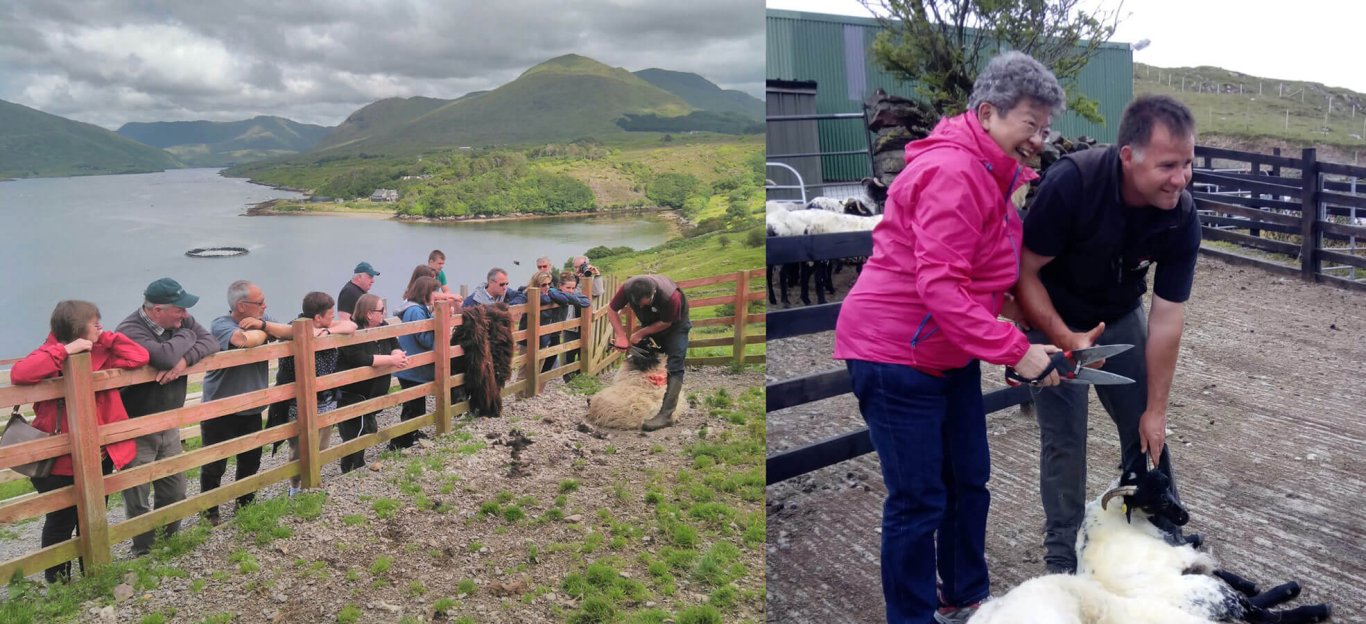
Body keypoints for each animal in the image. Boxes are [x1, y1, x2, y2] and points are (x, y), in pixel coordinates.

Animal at [972, 453, 1333, 622]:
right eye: (1152, 500)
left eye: (1168, 486)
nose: (1184, 516)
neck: (1116, 515)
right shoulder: (1175, 552)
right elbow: (1208, 558)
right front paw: (1253, 582)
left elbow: (1200, 548)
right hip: (1213, 595)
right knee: (1267, 615)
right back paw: (1310, 602)